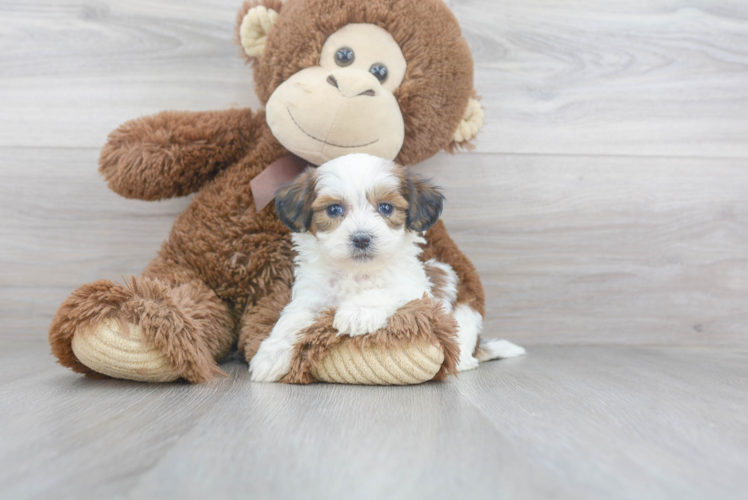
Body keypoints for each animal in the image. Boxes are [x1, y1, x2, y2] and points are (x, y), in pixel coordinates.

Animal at [248, 155, 524, 382]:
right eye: (334, 209)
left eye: (386, 208)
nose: (361, 238)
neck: (357, 272)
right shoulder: (310, 298)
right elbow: (290, 322)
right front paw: (269, 357)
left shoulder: (414, 290)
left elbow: (385, 290)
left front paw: (358, 311)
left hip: (465, 316)